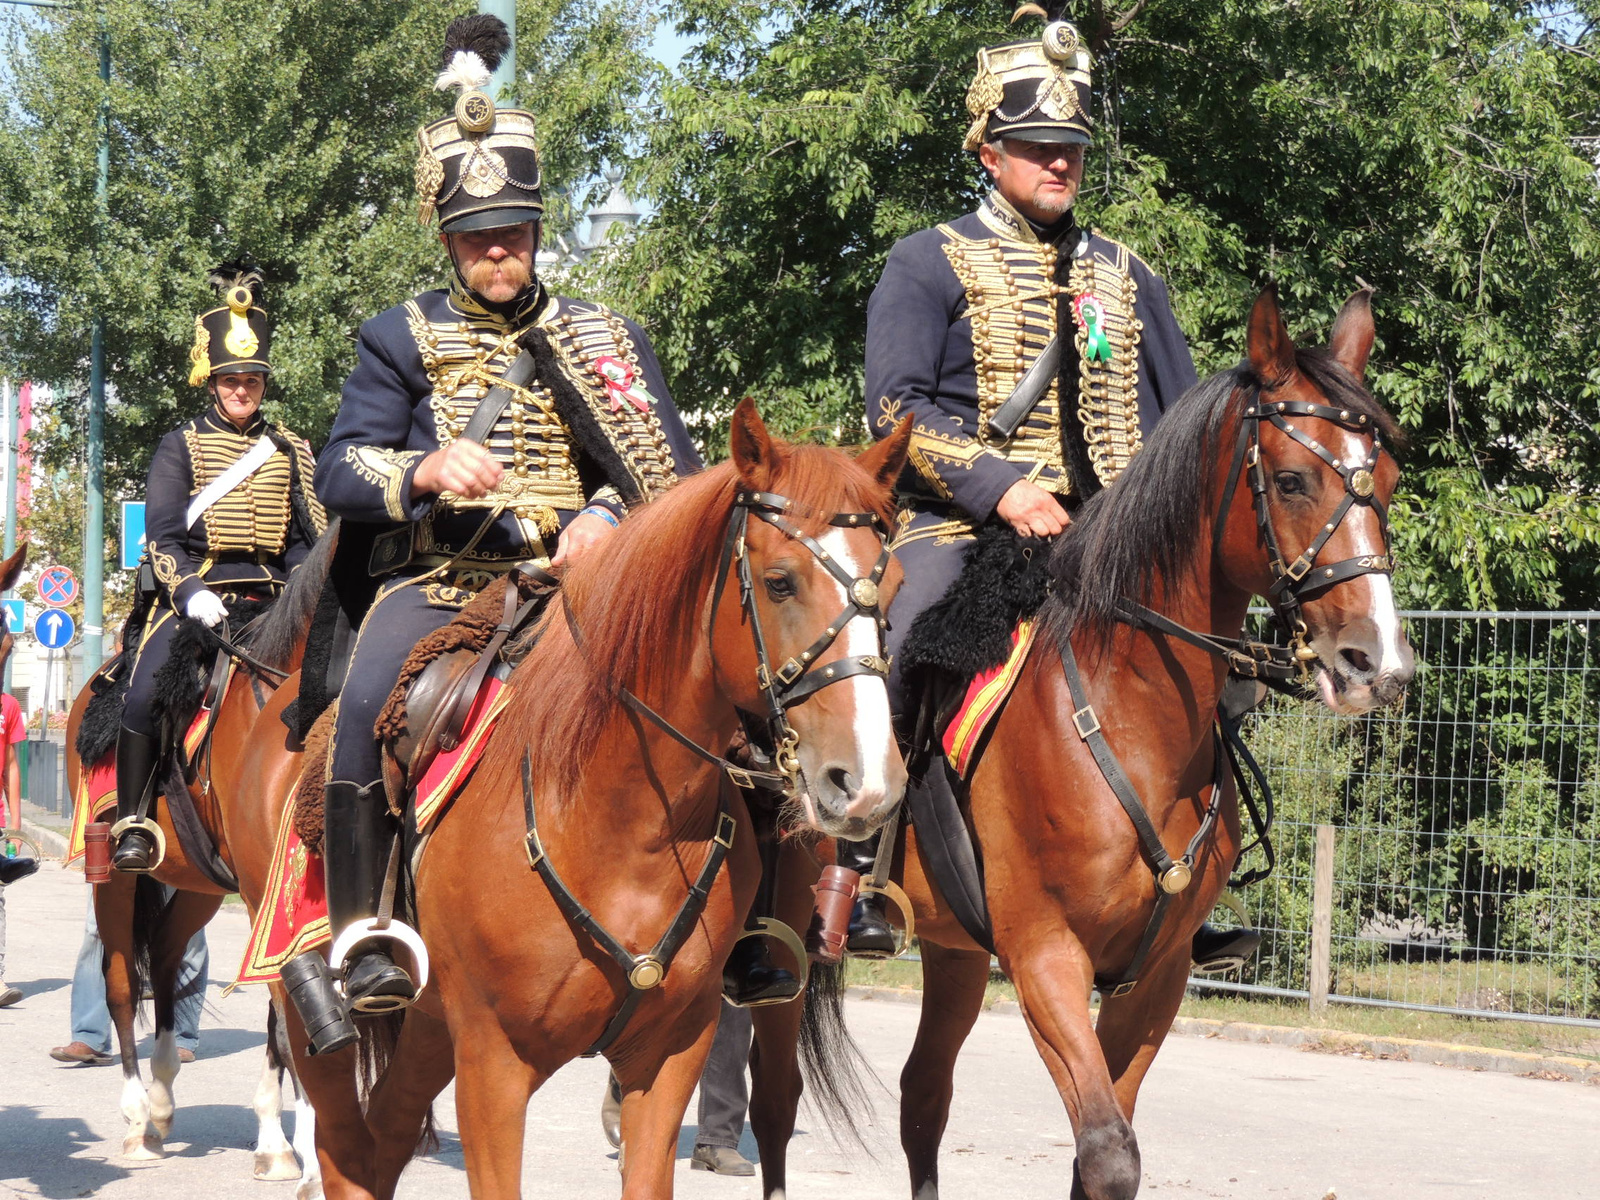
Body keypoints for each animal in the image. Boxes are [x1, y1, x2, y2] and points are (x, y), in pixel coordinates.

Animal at [235, 401, 915, 1200]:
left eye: (895, 589)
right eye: (780, 582)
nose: (867, 782)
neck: (625, 823)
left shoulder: (669, 1058)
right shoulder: (493, 1066)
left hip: (434, 1026)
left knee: (387, 1133)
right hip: (314, 1000)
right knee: (346, 1145)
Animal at [745, 284, 1414, 1200]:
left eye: (1387, 478)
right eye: (1290, 479)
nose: (1376, 663)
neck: (1129, 717)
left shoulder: (1156, 974)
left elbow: (1102, 1145)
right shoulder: (1045, 957)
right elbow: (1106, 1152)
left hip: (954, 950)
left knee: (924, 1098)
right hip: (782, 938)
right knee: (775, 1099)